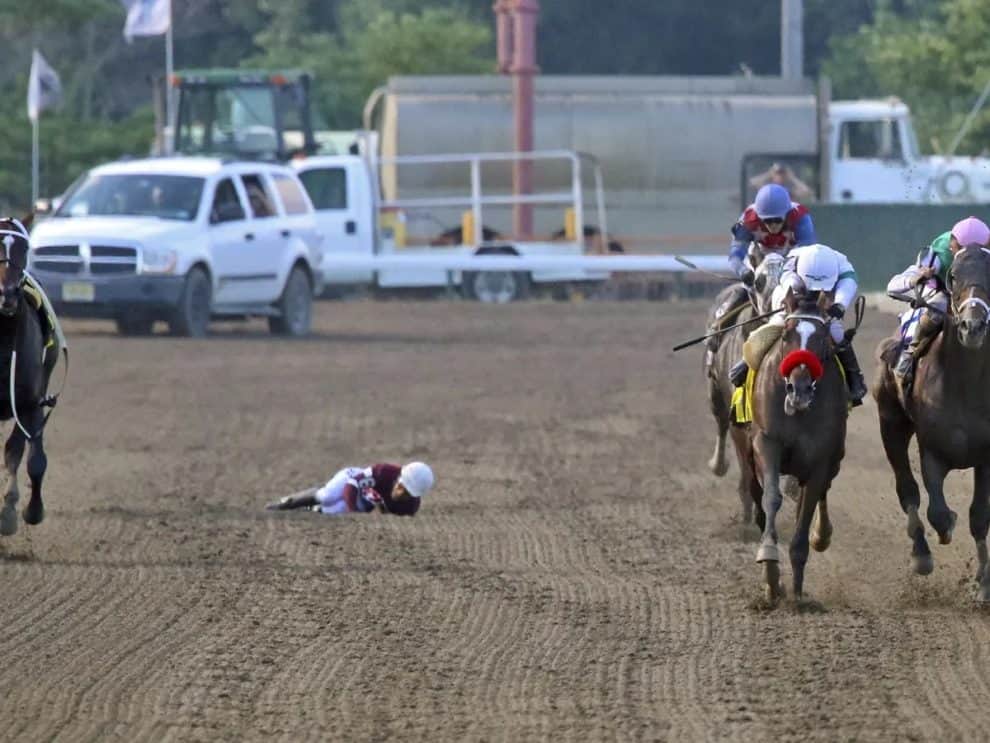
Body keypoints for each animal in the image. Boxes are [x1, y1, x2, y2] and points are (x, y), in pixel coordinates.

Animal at [704, 256, 792, 524]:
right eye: (758, 280)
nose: (780, 307)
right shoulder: (740, 421)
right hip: (715, 395)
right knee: (722, 426)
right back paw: (720, 467)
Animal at [756, 294, 848, 600]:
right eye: (786, 335)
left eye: (821, 338)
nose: (800, 390)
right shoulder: (767, 442)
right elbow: (771, 497)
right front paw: (770, 567)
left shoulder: (820, 459)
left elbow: (807, 509)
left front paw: (796, 592)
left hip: (835, 458)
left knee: (821, 493)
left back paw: (822, 535)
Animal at [880, 244, 990, 600]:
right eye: (952, 276)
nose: (973, 326)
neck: (965, 383)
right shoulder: (932, 449)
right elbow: (937, 512)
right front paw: (944, 529)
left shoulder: (987, 457)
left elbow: (979, 516)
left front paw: (984, 584)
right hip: (891, 424)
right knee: (908, 491)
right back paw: (921, 555)